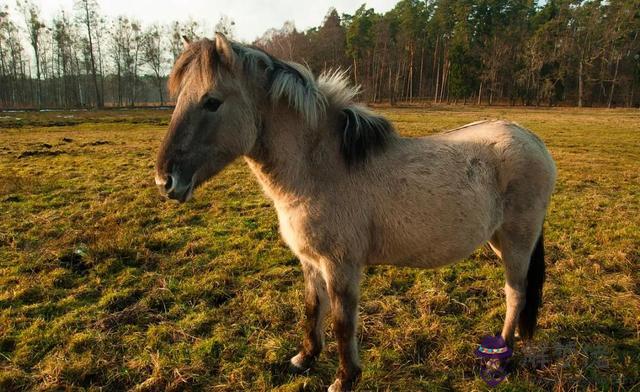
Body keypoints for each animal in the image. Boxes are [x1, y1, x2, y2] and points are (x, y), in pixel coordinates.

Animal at [155, 34, 556, 392]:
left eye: (211, 102)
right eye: (178, 99)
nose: (165, 180)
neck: (321, 168)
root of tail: (532, 140)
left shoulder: (341, 265)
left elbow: (342, 322)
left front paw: (344, 378)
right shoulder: (310, 260)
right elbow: (312, 308)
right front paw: (305, 358)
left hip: (517, 243)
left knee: (516, 294)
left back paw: (499, 359)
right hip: (498, 241)